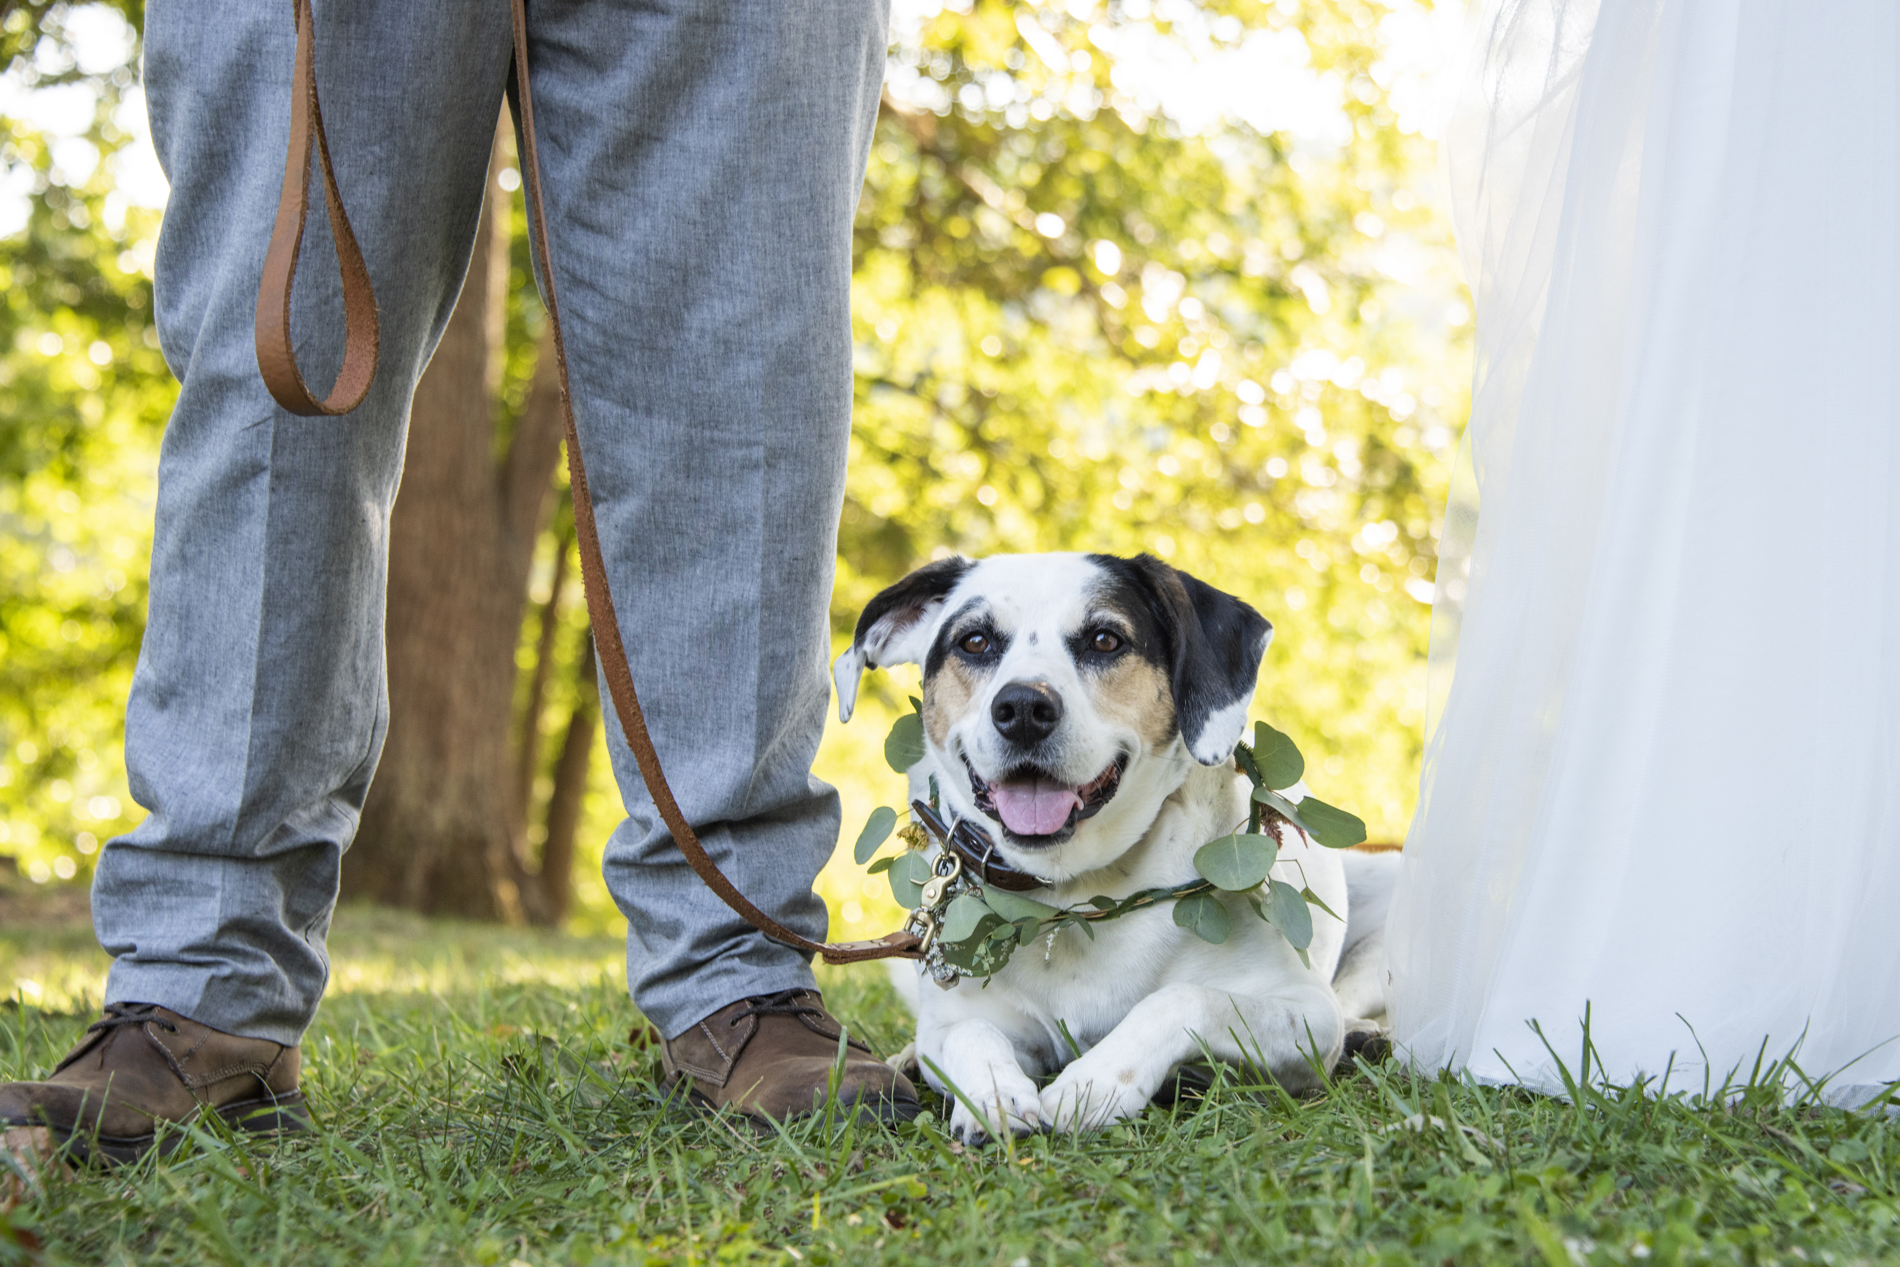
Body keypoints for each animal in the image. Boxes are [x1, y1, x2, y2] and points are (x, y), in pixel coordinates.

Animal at [832, 550, 1398, 1139]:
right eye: (975, 641)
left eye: (1105, 640)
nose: (1024, 708)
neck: (1072, 896)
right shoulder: (960, 1017)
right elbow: (970, 1034)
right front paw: (994, 1094)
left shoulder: (1306, 1016)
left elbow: (1186, 999)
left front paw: (1093, 1082)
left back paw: (1366, 1034)